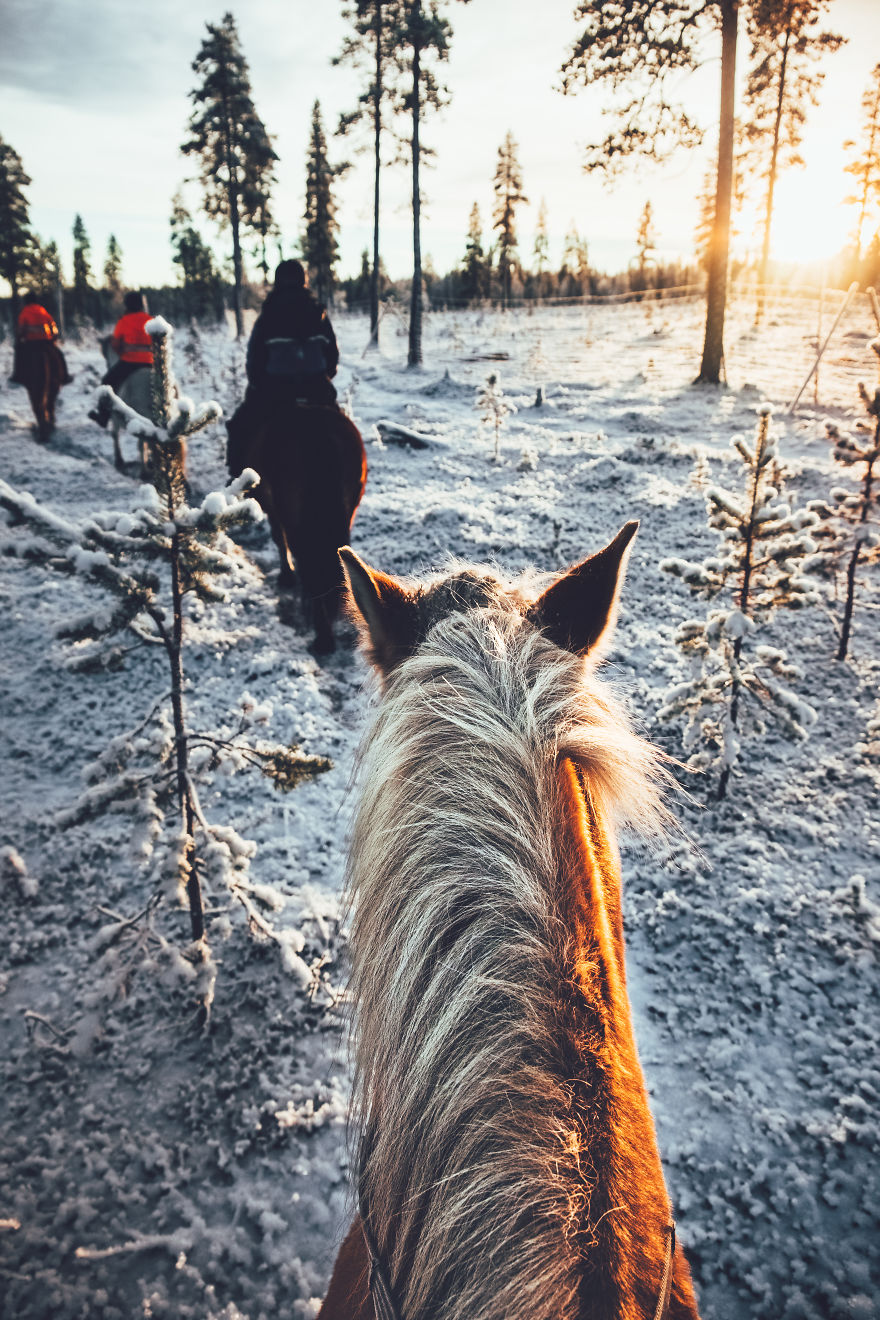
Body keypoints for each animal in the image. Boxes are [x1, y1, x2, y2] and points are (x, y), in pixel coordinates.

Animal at [98, 335, 152, 475]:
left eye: (104, 353)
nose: (108, 365)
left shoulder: (115, 417)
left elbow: (114, 435)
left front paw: (119, 460)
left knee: (141, 444)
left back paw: (144, 472)